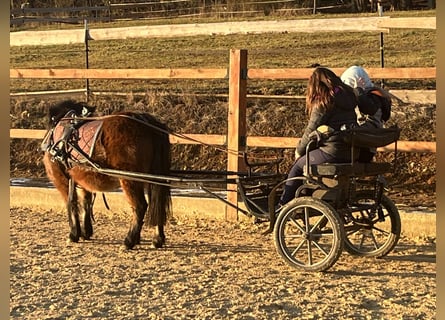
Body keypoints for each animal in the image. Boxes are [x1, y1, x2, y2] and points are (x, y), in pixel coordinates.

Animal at [41, 99, 171, 249]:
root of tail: (149, 125)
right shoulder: (82, 179)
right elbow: (86, 203)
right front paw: (86, 232)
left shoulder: (62, 180)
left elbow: (72, 203)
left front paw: (73, 234)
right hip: (151, 180)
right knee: (157, 205)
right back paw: (157, 239)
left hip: (130, 179)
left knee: (140, 207)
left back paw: (129, 241)